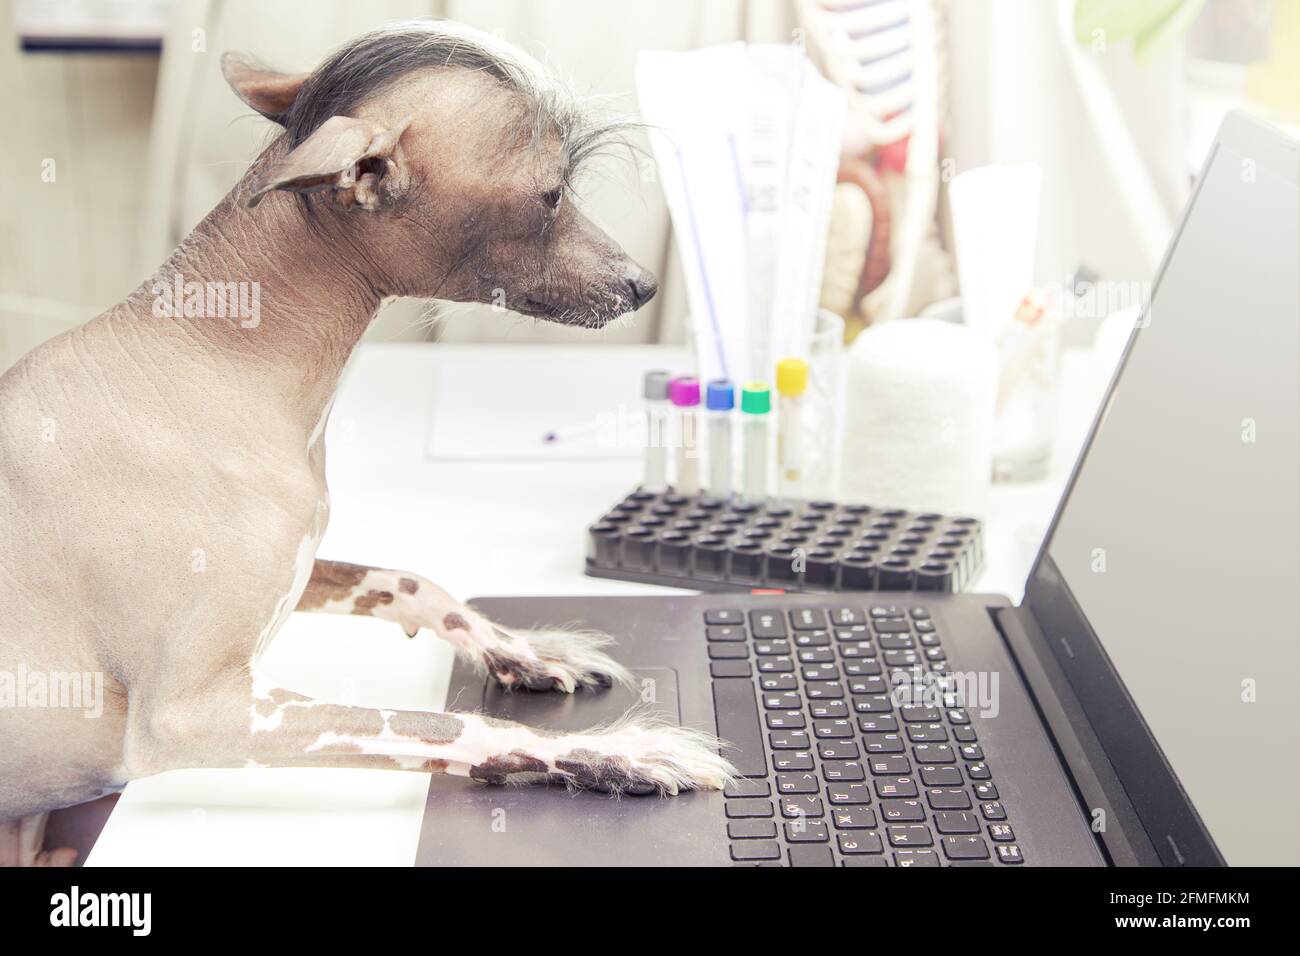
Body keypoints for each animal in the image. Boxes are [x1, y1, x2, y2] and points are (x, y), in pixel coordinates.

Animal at [0, 20, 733, 868]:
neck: (210, 358)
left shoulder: (305, 571)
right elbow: (438, 722)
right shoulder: (192, 715)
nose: (644, 284)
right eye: (552, 194)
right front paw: (609, 754)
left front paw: (520, 650)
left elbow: (413, 580)